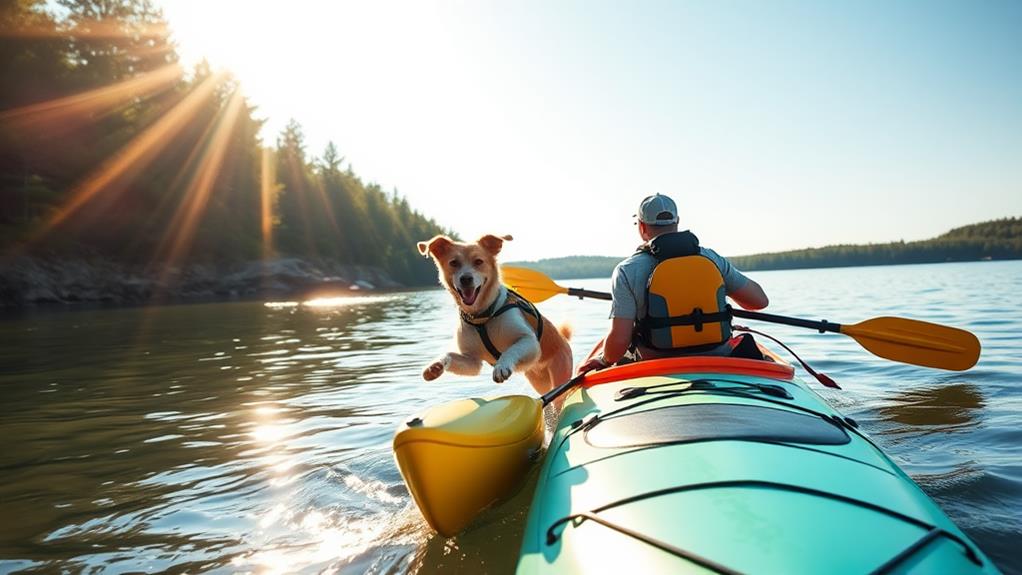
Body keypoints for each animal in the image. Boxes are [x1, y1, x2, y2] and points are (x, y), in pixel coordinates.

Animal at [416, 233, 576, 396]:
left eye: (478, 261)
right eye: (454, 262)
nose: (466, 279)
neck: (483, 316)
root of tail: (563, 339)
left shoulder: (530, 341)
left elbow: (511, 350)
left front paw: (501, 366)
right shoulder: (472, 361)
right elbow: (451, 355)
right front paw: (435, 365)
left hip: (559, 373)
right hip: (538, 381)